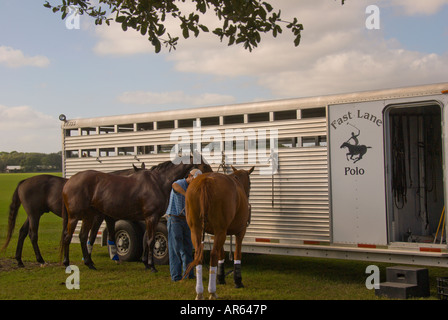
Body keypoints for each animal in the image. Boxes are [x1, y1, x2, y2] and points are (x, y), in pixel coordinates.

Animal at [0, 165, 144, 268]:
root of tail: (24, 181)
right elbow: (92, 236)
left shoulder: (106, 217)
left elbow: (107, 236)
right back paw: (41, 260)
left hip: (33, 215)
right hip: (34, 215)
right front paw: (89, 258)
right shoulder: (98, 218)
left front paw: (112, 258)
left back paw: (19, 261)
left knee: (22, 232)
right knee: (32, 235)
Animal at [60, 156, 212, 272]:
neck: (159, 182)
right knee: (68, 237)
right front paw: (151, 266)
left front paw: (146, 263)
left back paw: (89, 263)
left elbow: (146, 240)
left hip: (89, 216)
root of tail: (69, 182)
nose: (212, 177)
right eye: (204, 165)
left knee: (83, 236)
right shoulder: (152, 217)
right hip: (75, 217)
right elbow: (151, 241)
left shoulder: (150, 218)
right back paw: (67, 263)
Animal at [181, 166, 252, 298]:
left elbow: (222, 254)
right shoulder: (240, 231)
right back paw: (212, 291)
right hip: (221, 231)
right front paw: (238, 281)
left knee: (198, 254)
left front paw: (220, 278)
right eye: (250, 183)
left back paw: (199, 292)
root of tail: (206, 180)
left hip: (197, 229)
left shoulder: (217, 233)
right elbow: (236, 254)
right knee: (213, 255)